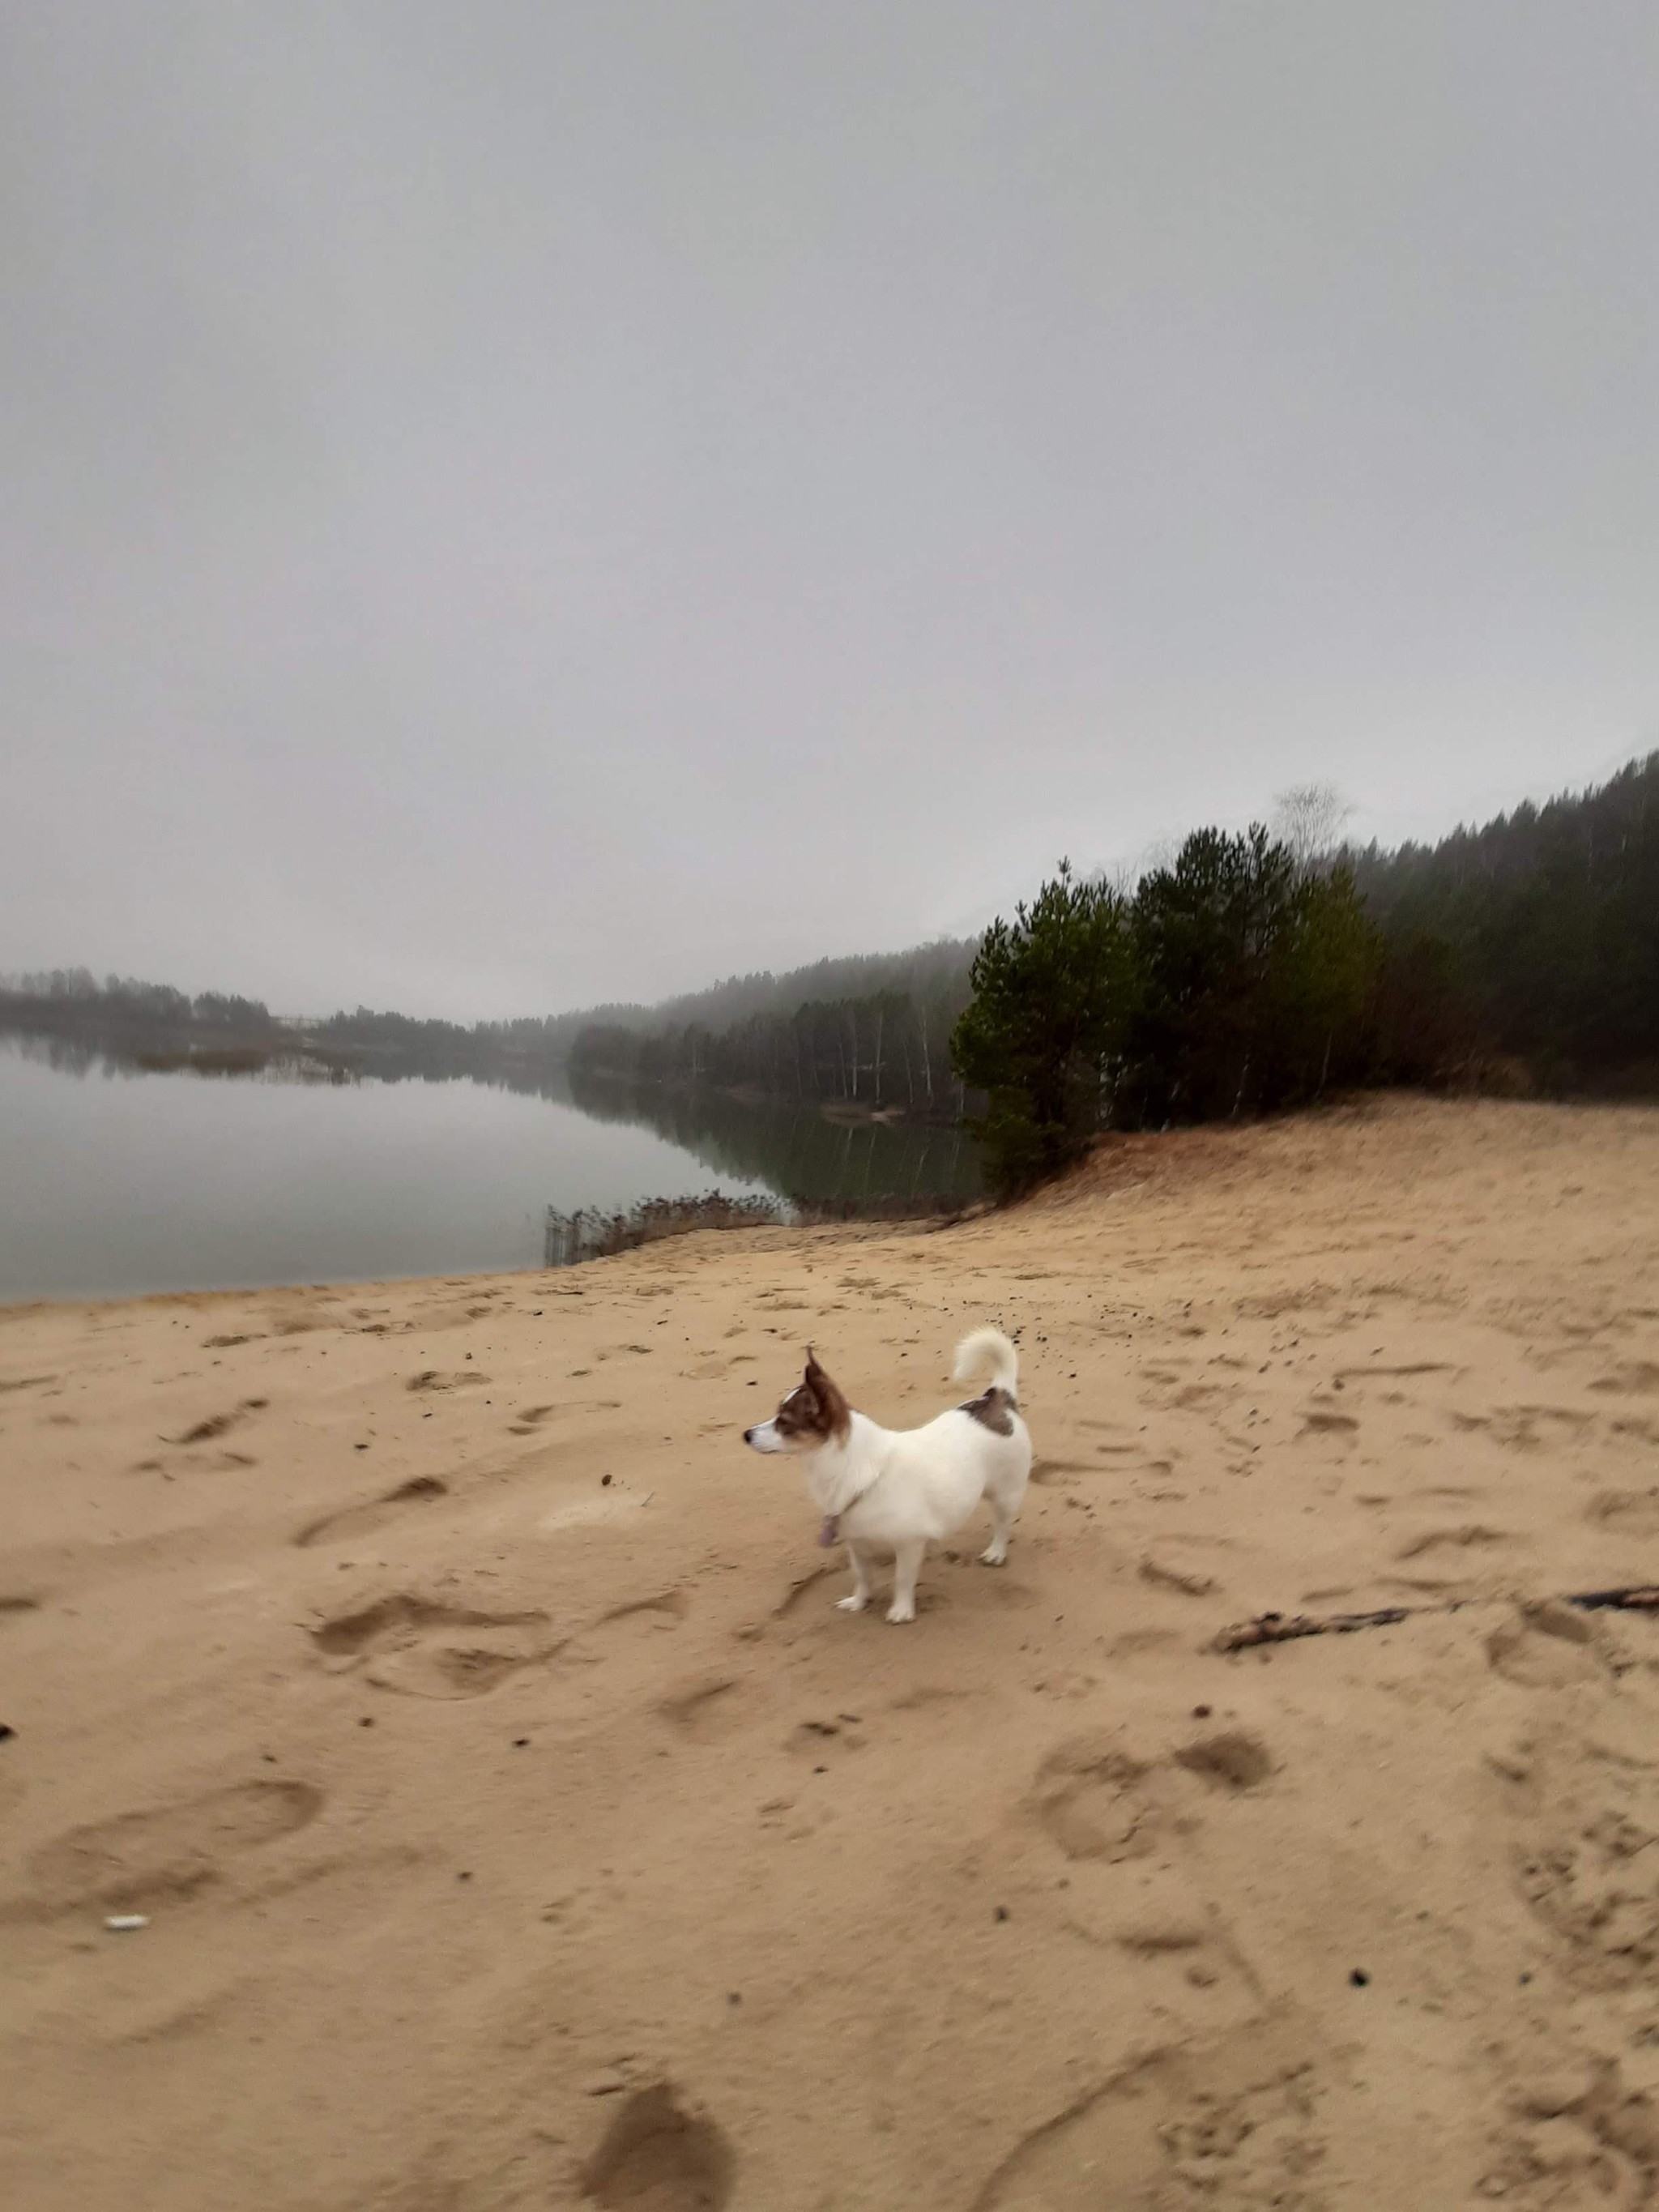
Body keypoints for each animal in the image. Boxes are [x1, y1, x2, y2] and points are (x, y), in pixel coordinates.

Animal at [747, 1327, 1034, 1628]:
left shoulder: (908, 1545)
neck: (856, 1468)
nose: (746, 1435)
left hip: (1005, 1494)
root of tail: (998, 1398)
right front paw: (859, 1602)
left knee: (1003, 1524)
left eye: (784, 1423)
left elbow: (903, 1579)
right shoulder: (857, 1544)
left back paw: (997, 1552)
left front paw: (901, 1610)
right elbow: (862, 1576)